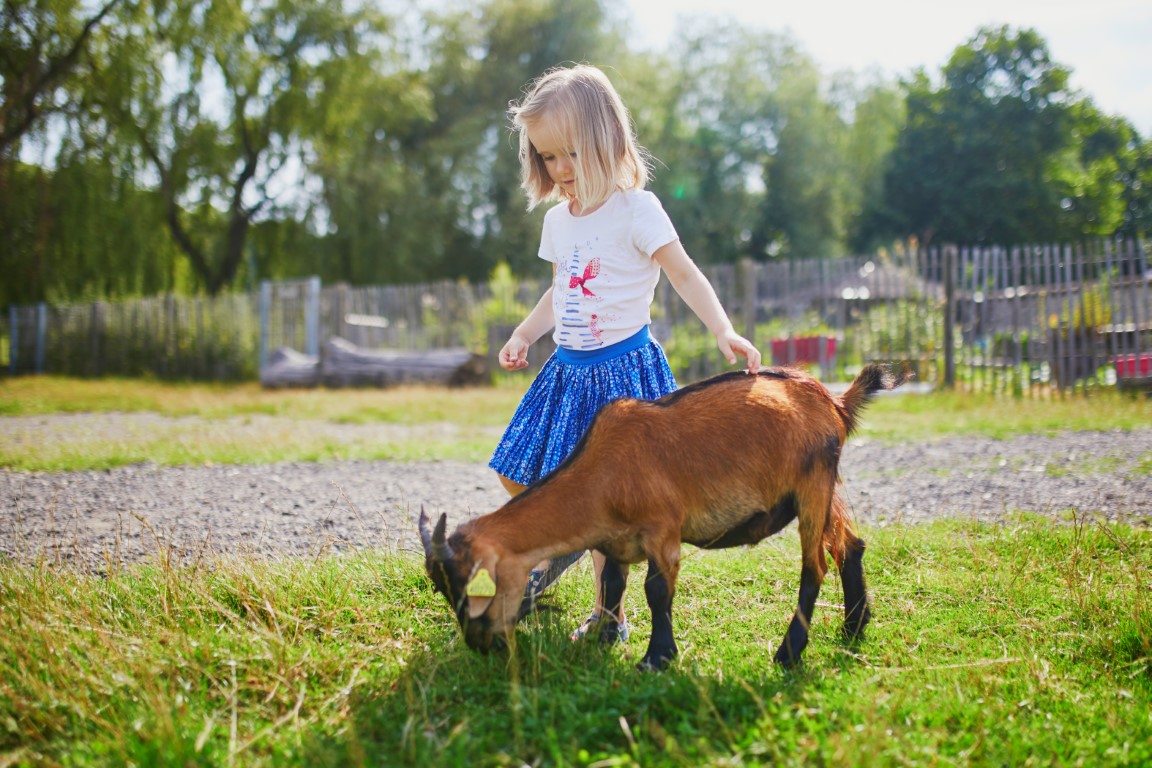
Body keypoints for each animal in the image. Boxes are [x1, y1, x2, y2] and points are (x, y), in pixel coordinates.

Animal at [419, 363, 909, 670]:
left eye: (475, 584)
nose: (479, 643)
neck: (603, 473)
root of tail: (834, 401)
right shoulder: (614, 542)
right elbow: (612, 585)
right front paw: (601, 641)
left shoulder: (663, 531)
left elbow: (656, 591)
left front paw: (656, 659)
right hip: (825, 486)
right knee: (850, 545)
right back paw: (854, 627)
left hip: (812, 486)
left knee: (815, 567)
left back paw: (789, 654)